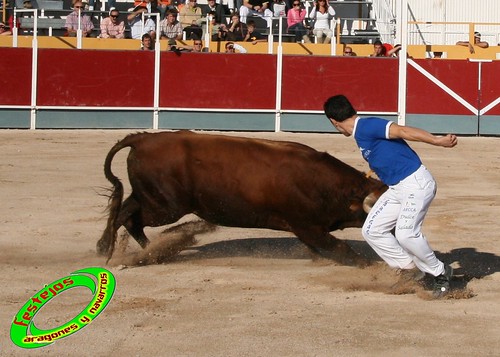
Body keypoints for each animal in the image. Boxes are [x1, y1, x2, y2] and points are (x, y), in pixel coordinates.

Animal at [97, 131, 386, 264]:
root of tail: (143, 138)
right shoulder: (307, 226)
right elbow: (340, 247)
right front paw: (368, 265)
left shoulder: (308, 231)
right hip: (165, 207)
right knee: (126, 215)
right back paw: (110, 250)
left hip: (153, 200)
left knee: (129, 214)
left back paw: (151, 251)